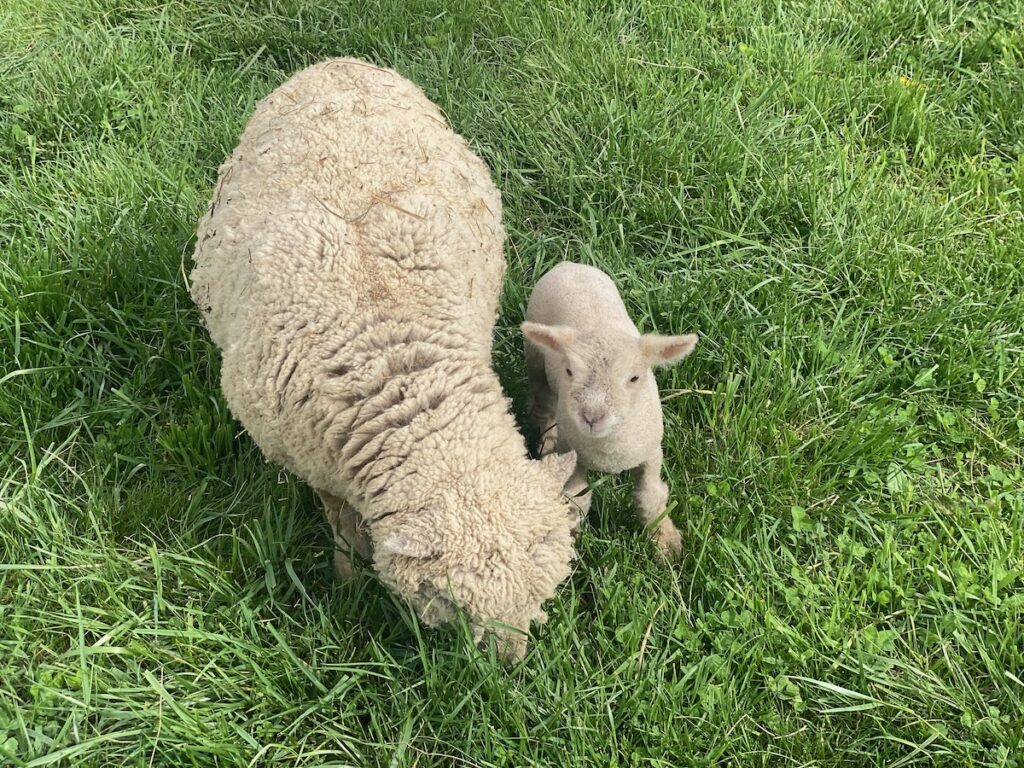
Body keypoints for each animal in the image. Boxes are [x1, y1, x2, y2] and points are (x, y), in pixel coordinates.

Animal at [188, 60, 581, 663]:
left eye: (545, 590)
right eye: (457, 606)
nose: (511, 664)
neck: (398, 365)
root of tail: (338, 60)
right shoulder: (314, 463)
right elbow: (341, 524)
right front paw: (347, 578)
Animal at [524, 266, 700, 565]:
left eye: (634, 378)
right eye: (569, 371)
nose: (592, 417)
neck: (609, 453)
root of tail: (569, 264)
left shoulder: (651, 453)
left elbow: (650, 496)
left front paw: (666, 544)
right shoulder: (576, 457)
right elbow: (576, 500)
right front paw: (571, 541)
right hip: (537, 364)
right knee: (543, 406)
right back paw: (547, 441)